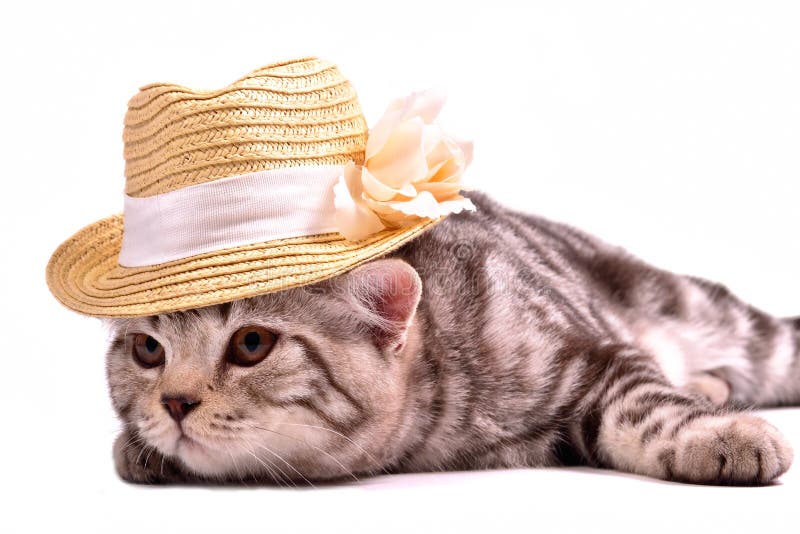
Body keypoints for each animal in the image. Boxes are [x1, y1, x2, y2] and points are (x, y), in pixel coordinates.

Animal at [104, 195, 792, 488]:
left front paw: (722, 434)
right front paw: (139, 447)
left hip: (702, 310)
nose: (175, 403)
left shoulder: (592, 354)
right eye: (148, 350)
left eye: (251, 344)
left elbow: (647, 405)